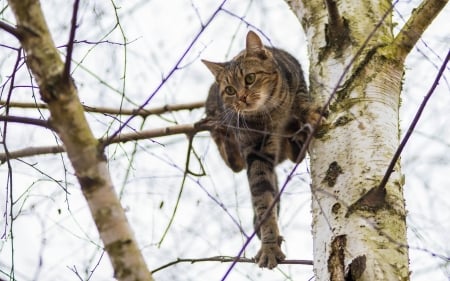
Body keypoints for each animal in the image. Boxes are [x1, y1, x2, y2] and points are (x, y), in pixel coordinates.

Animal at [200, 30, 320, 270]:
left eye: (250, 78)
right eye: (230, 90)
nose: (241, 98)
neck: (270, 112)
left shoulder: (297, 78)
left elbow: (302, 101)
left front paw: (309, 114)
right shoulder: (256, 152)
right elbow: (263, 199)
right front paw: (269, 246)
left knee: (294, 155)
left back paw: (298, 139)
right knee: (234, 162)